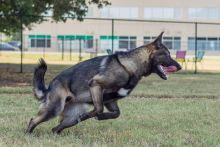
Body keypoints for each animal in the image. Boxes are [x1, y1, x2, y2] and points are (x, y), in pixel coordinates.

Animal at [25, 32, 180, 134]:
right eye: (167, 54)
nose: (179, 67)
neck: (131, 65)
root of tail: (49, 87)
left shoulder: (110, 101)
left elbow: (116, 113)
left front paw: (101, 117)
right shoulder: (95, 85)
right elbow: (98, 108)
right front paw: (93, 116)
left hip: (71, 117)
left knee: (56, 127)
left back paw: (56, 133)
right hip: (54, 108)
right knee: (33, 119)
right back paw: (28, 133)